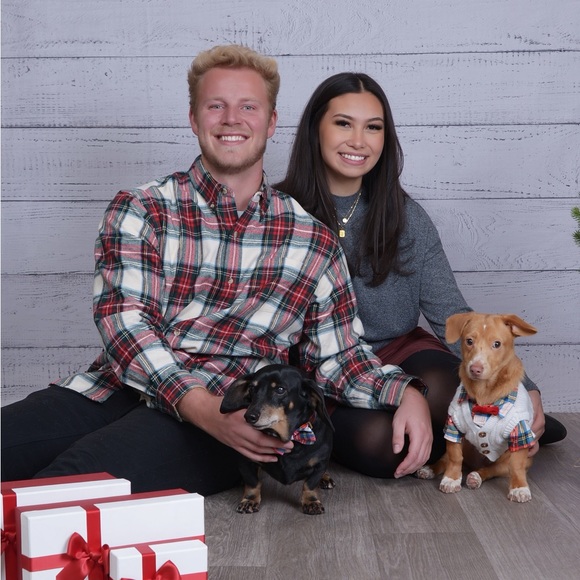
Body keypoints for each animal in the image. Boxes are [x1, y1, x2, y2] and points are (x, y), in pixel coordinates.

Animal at [219, 364, 335, 515]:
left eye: (280, 390)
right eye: (252, 389)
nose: (249, 416)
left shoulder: (320, 463)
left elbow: (310, 484)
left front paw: (312, 501)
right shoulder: (245, 459)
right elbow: (252, 482)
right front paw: (249, 500)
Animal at [417, 312, 538, 502]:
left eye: (497, 344)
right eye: (469, 341)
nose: (475, 369)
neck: (484, 395)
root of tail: (473, 464)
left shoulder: (519, 432)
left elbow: (516, 465)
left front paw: (519, 488)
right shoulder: (453, 426)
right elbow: (454, 457)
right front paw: (451, 479)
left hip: (506, 461)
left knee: (493, 470)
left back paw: (476, 477)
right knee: (446, 459)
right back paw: (430, 469)